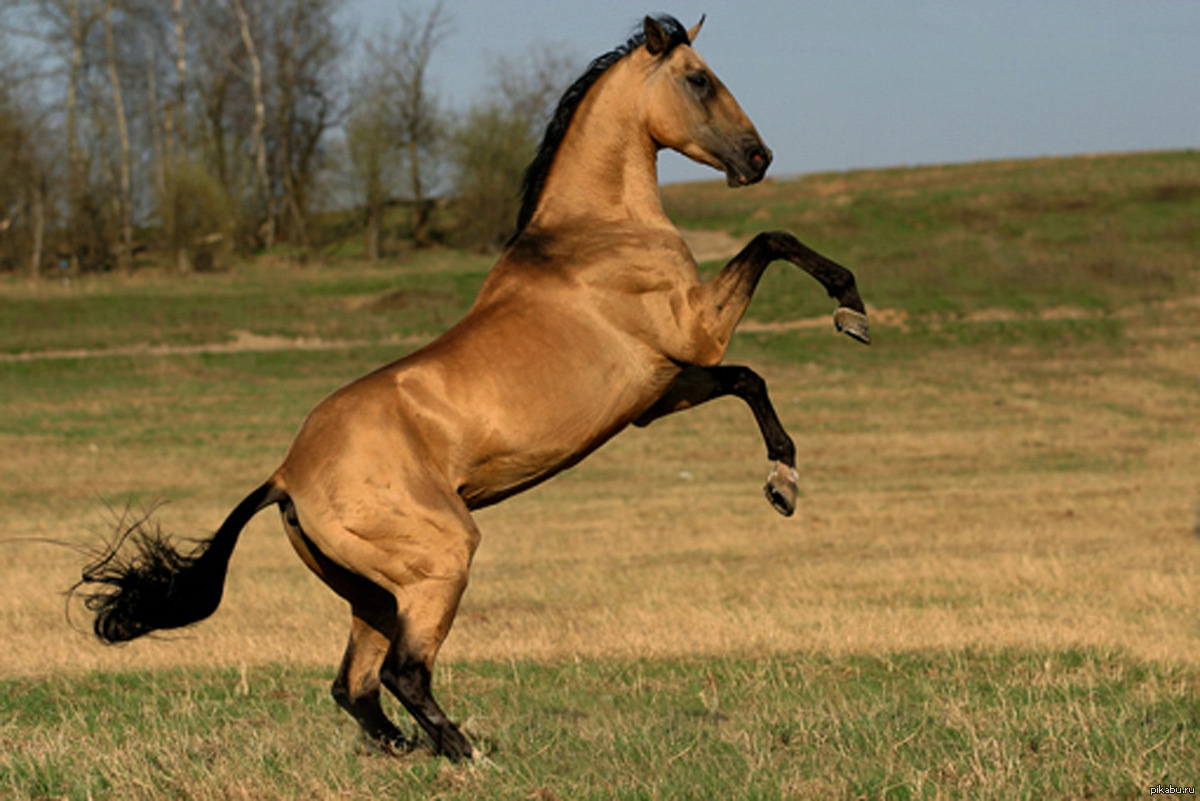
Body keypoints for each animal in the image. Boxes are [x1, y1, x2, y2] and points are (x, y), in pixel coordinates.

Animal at [79, 14, 868, 762]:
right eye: (699, 79)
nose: (759, 158)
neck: (598, 232)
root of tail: (285, 474)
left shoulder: (661, 392)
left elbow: (749, 378)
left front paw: (783, 484)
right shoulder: (695, 332)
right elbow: (771, 242)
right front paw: (850, 310)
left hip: (374, 592)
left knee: (353, 686)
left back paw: (407, 749)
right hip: (438, 563)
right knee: (401, 672)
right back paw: (467, 752)